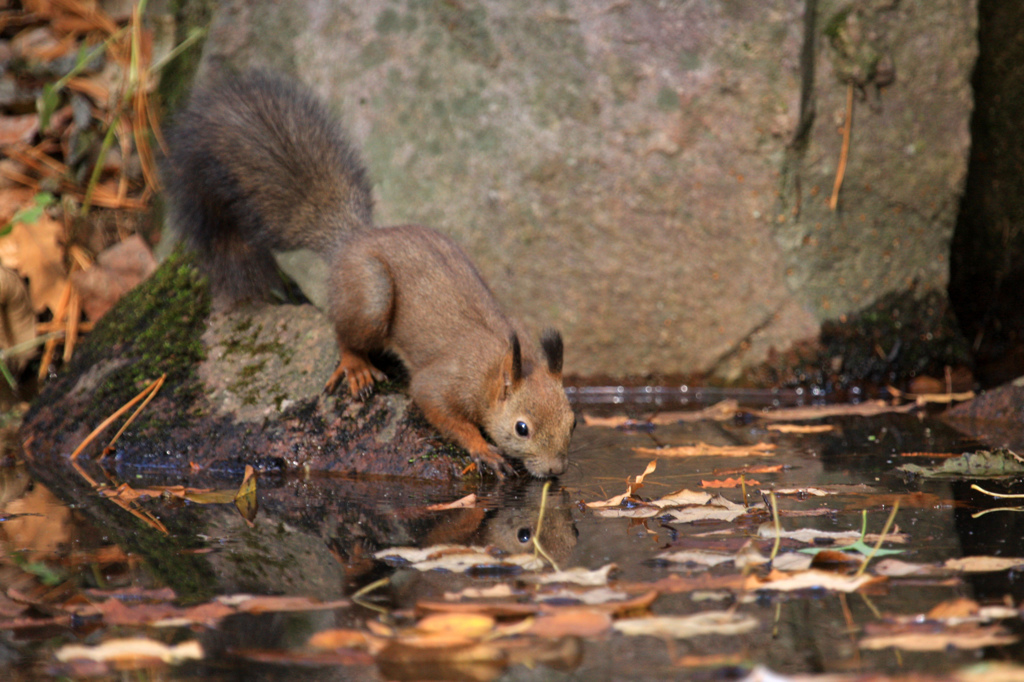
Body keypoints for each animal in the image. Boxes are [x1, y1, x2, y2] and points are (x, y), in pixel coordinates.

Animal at [163, 67, 573, 473]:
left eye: (572, 422)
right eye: (522, 428)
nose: (555, 471)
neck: (497, 366)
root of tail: (352, 238)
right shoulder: (443, 381)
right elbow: (437, 406)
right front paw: (482, 448)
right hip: (370, 294)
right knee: (345, 334)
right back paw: (355, 366)